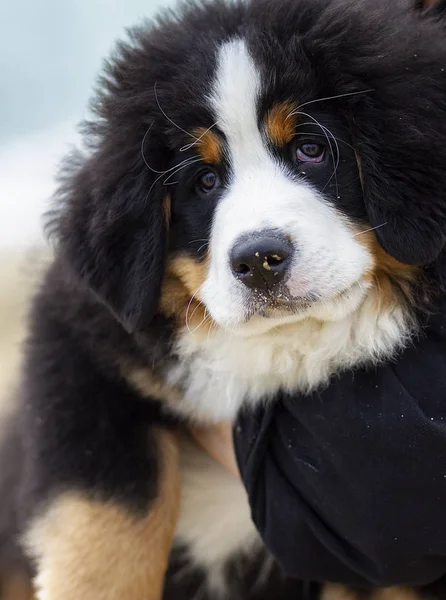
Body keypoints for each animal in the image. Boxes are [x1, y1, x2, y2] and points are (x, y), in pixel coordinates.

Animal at [2, 0, 446, 596]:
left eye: (311, 149)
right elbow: (114, 523)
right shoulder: (79, 352)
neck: (277, 353)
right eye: (205, 181)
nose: (258, 259)